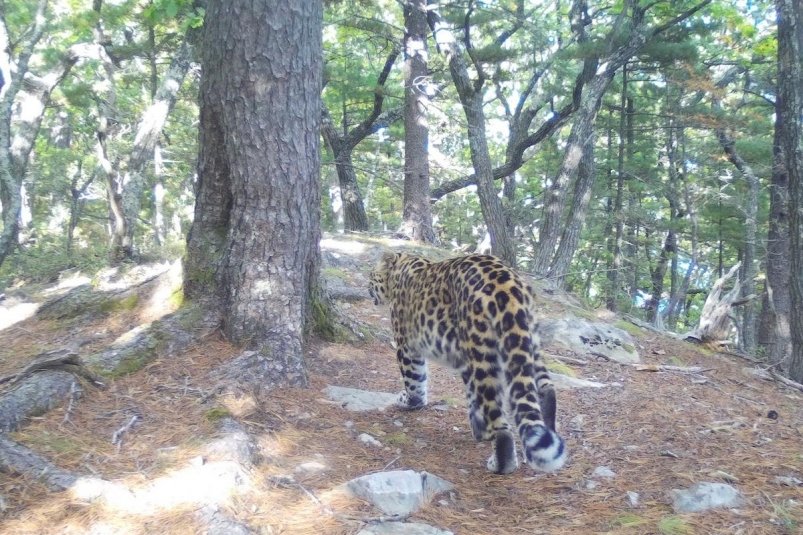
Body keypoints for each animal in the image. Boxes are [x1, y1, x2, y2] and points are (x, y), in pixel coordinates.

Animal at [368, 253, 568, 476]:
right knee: (544, 387)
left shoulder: (406, 345)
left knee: (499, 420)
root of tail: (508, 284)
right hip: (526, 342)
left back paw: (501, 463)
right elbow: (471, 396)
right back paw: (546, 430)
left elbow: (414, 379)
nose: (367, 286)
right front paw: (478, 428)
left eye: (371, 275)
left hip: (481, 352)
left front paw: (409, 401)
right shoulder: (463, 360)